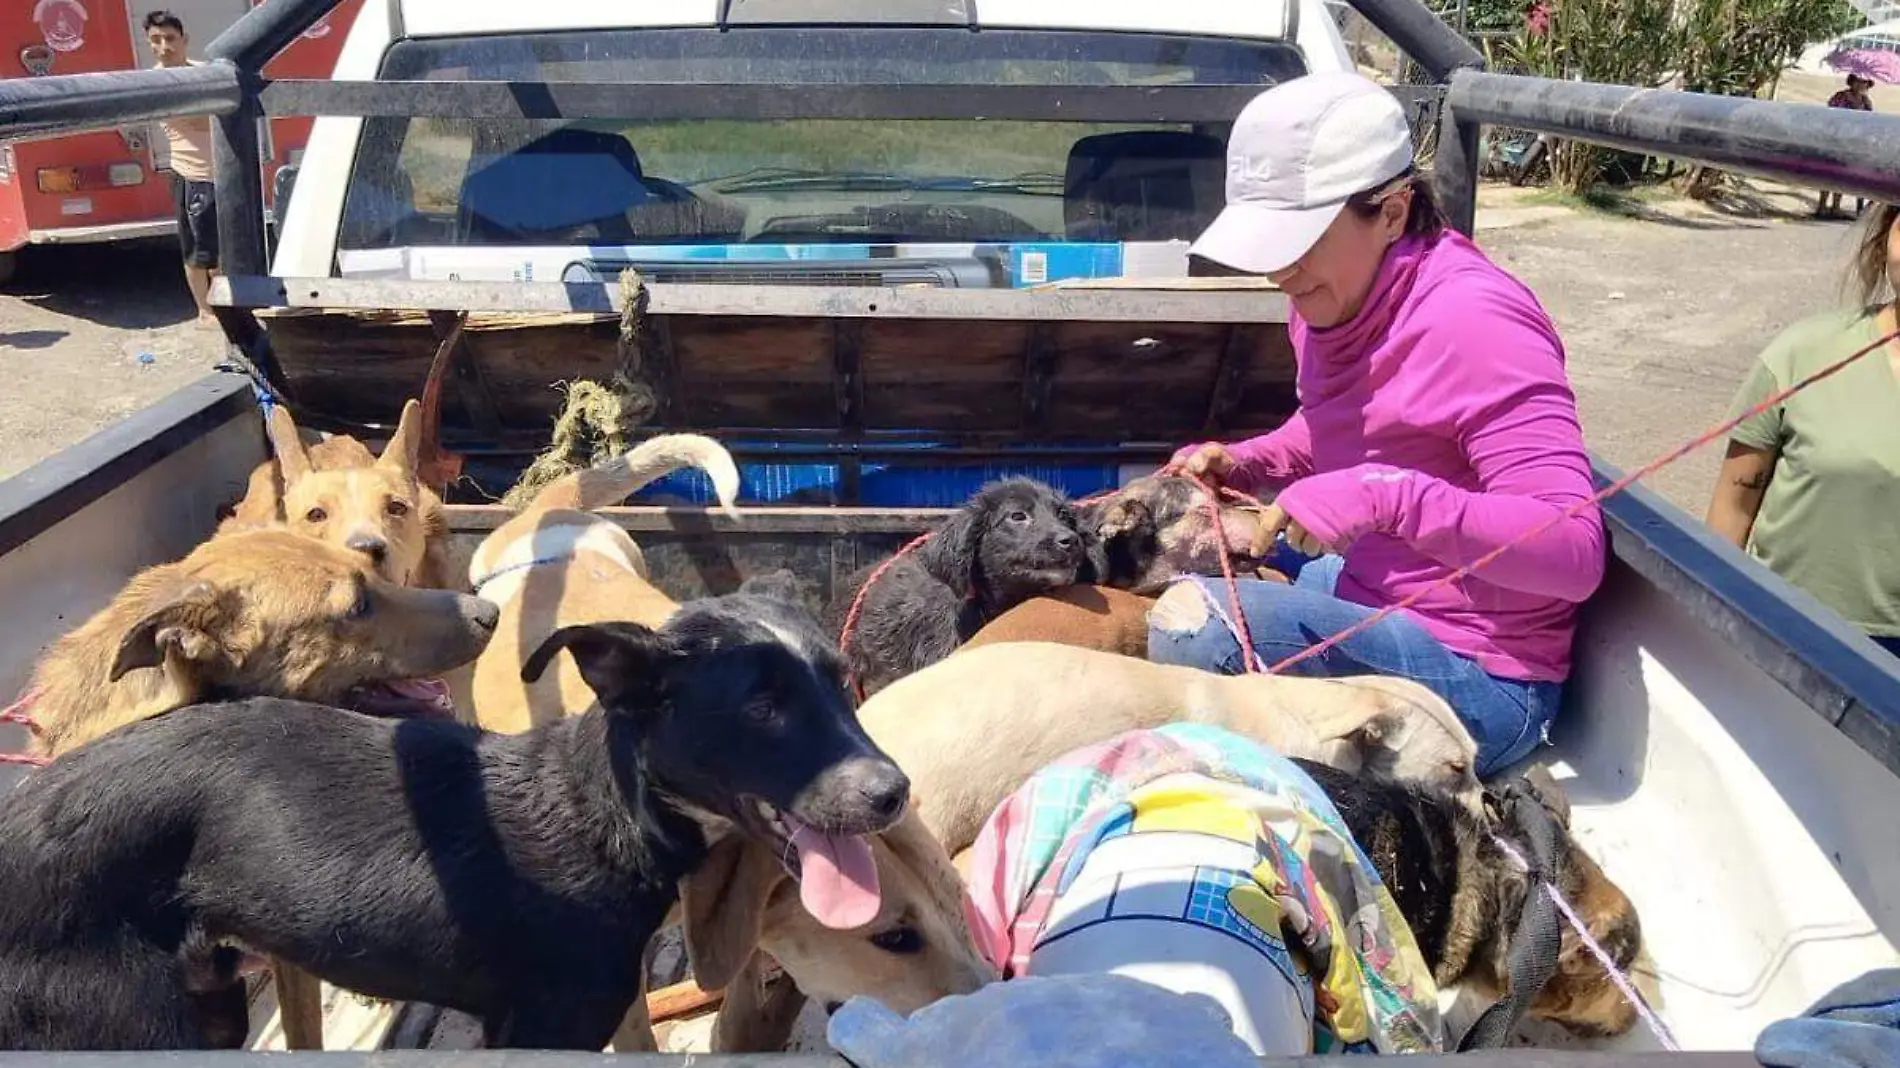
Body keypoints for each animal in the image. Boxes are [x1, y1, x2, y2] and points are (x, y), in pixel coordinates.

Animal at [0, 589, 904, 1048]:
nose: (893, 792)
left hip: (209, 1001)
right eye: (762, 708)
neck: (603, 819)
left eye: (844, 681)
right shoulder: (543, 1031)